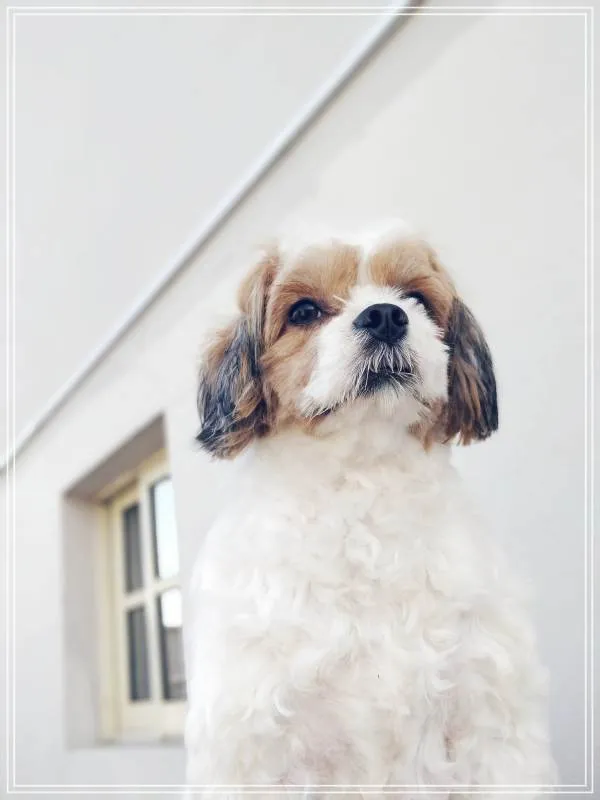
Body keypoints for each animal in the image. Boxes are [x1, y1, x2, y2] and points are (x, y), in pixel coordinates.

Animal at [185, 223, 556, 798]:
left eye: (417, 298)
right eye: (305, 311)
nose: (385, 315)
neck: (363, 494)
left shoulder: (492, 726)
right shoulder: (253, 745)